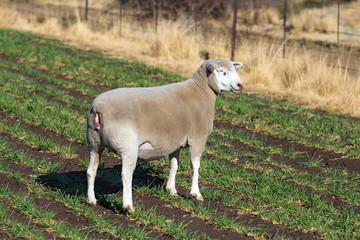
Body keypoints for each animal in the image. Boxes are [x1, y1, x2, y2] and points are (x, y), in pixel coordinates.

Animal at [86, 58, 243, 212]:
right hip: (127, 146)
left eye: (234, 69)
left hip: (94, 144)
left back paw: (91, 200)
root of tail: (98, 109)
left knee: (91, 171)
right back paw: (128, 206)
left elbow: (174, 165)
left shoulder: (175, 142)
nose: (240, 85)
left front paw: (171, 190)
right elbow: (195, 167)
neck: (200, 91)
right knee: (126, 175)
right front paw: (195, 194)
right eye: (222, 72)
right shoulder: (198, 138)